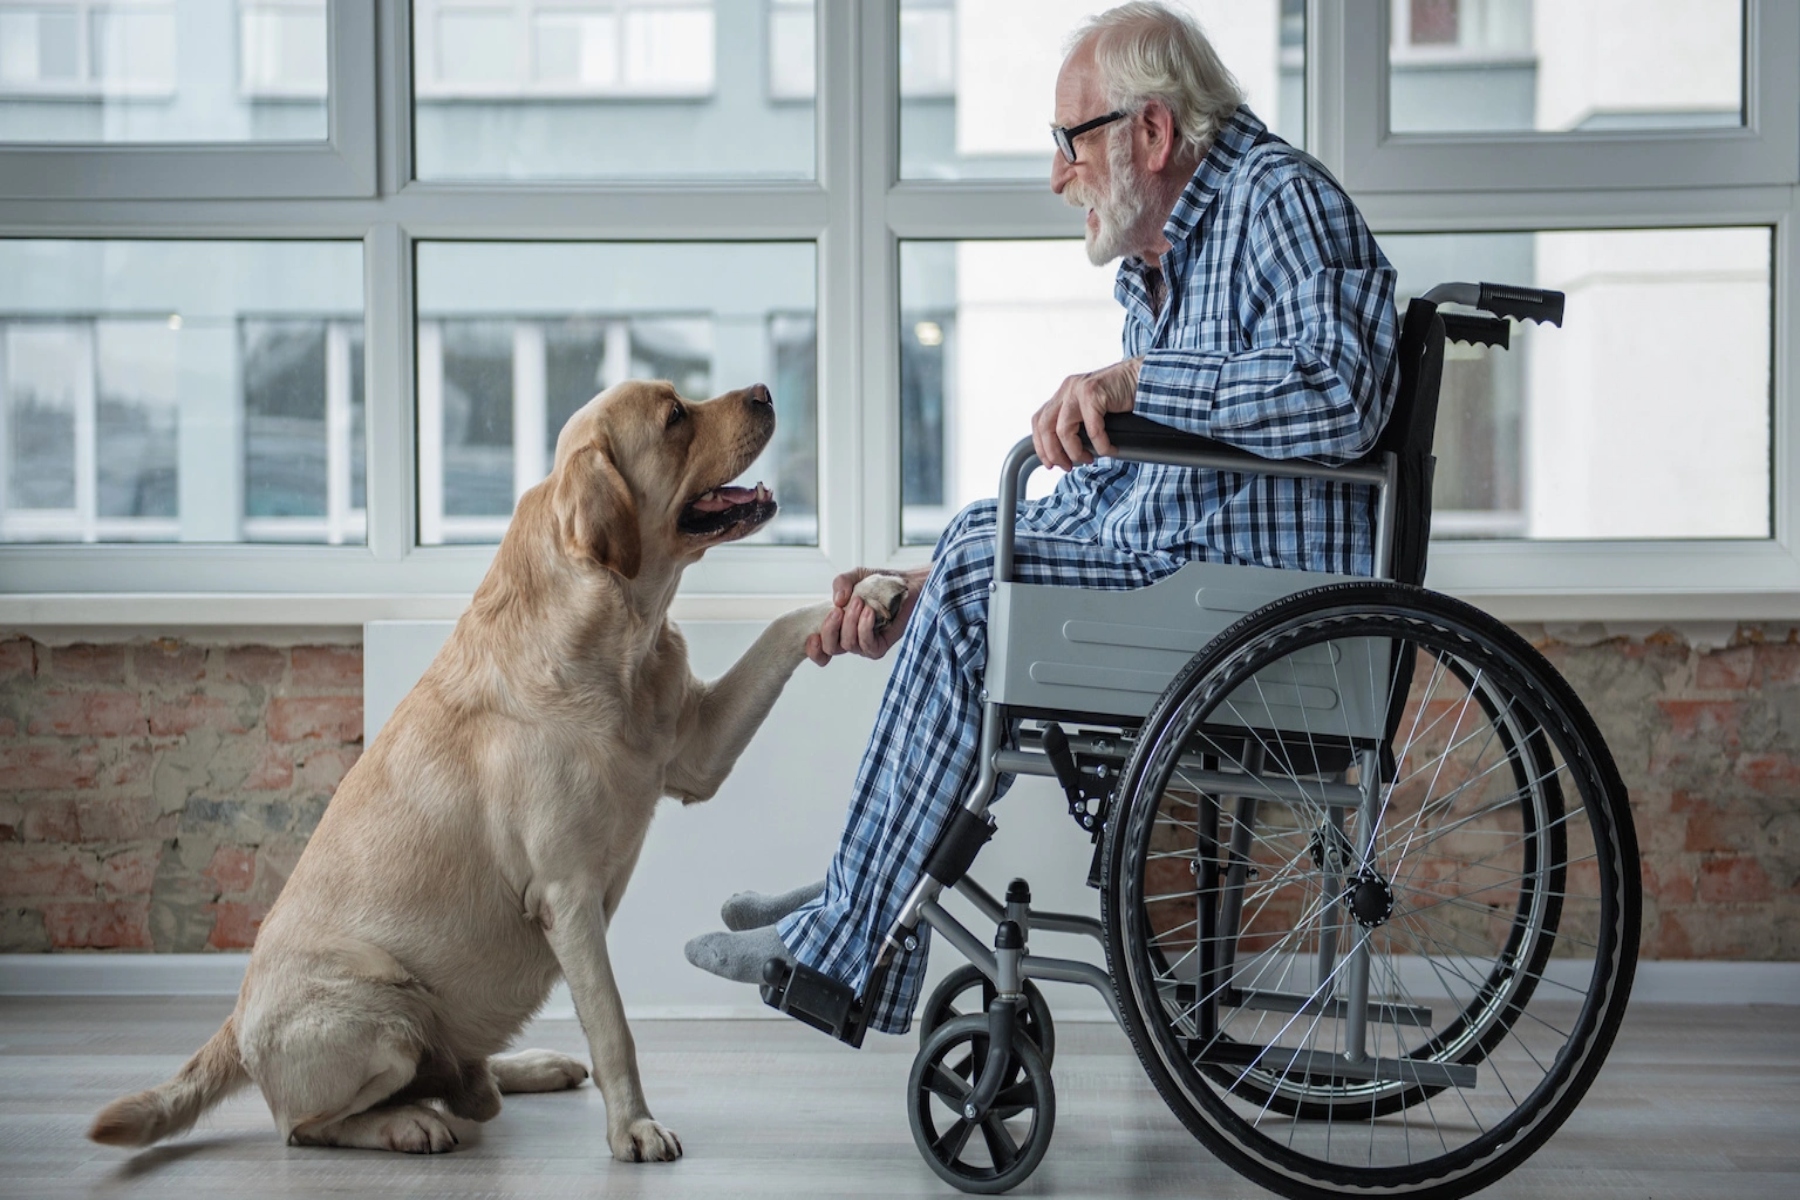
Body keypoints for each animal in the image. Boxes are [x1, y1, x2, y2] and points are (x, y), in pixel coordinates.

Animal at [89, 383, 900, 1165]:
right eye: (675, 416)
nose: (764, 392)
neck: (620, 637)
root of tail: (234, 1020)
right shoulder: (567, 895)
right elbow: (613, 1025)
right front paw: (633, 1129)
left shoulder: (697, 753)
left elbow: (783, 625)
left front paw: (873, 591)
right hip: (389, 1011)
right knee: (309, 1123)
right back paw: (408, 1124)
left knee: (462, 1078)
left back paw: (526, 1067)